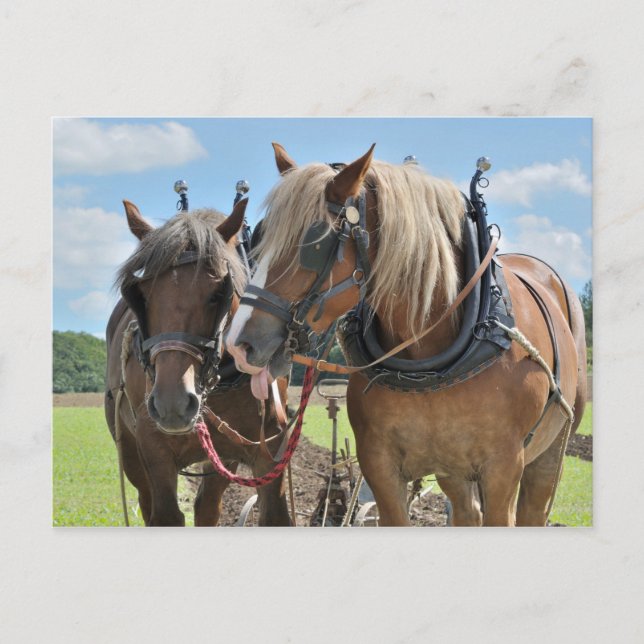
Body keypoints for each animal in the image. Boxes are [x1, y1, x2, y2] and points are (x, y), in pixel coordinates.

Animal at [104, 199, 291, 526]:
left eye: (218, 293)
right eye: (141, 295)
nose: (173, 404)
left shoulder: (269, 448)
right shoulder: (153, 447)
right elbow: (165, 515)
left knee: (207, 505)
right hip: (129, 450)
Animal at [226, 143, 587, 527]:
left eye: (315, 242)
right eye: (259, 237)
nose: (237, 345)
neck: (428, 362)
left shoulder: (503, 469)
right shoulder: (380, 467)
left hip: (549, 453)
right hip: (453, 469)